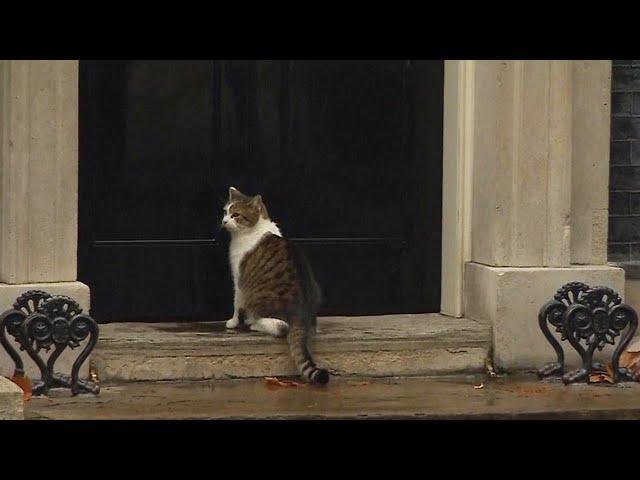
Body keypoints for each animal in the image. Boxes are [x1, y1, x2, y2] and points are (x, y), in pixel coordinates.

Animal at [221, 186, 330, 384]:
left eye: (235, 215)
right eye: (225, 211)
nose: (224, 221)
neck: (255, 228)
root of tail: (301, 314)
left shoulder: (239, 279)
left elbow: (236, 302)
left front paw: (232, 322)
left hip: (258, 299)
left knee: (281, 327)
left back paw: (254, 323)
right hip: (317, 290)